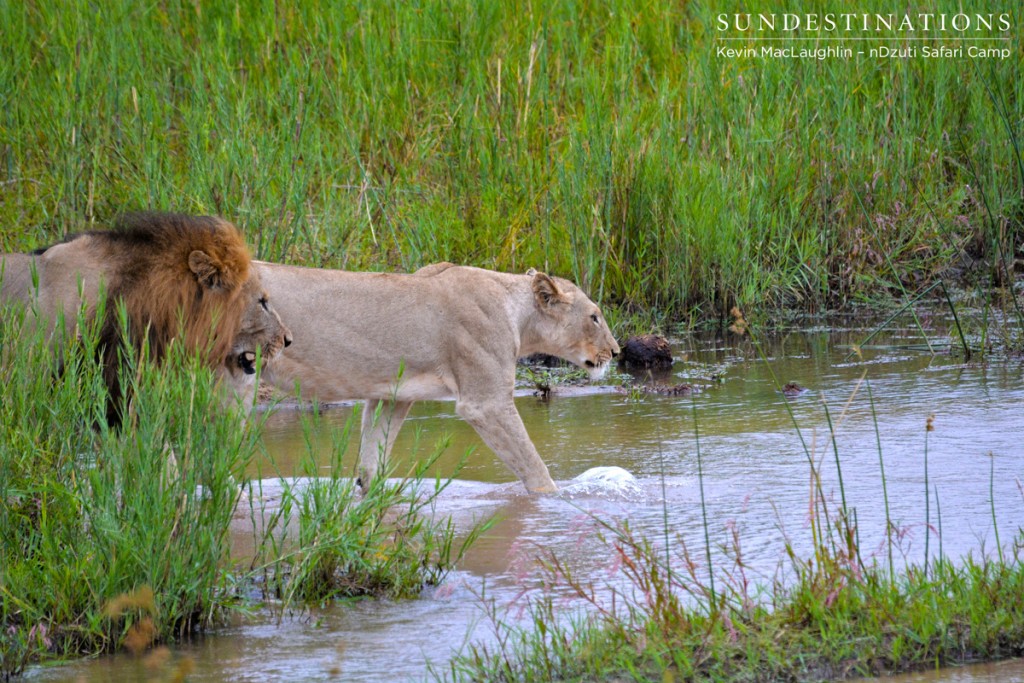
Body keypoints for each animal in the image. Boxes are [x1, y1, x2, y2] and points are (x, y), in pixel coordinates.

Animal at [260, 260, 618, 491]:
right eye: (595, 317)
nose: (616, 352)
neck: (517, 314)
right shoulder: (485, 403)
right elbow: (536, 472)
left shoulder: (391, 396)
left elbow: (371, 466)